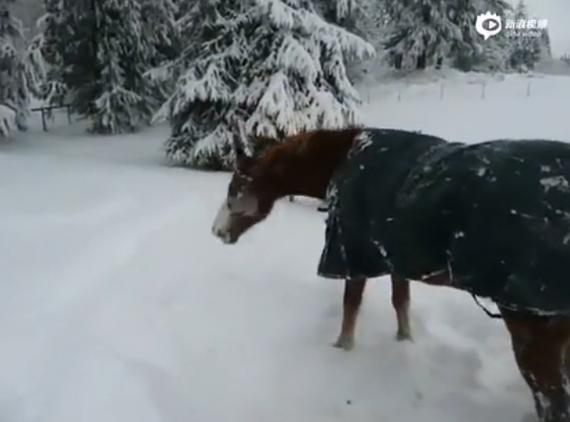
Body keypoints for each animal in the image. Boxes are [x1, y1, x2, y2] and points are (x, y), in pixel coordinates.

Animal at [211, 123, 568, 420]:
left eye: (234, 190)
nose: (217, 232)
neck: (341, 162)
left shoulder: (351, 256)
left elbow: (351, 307)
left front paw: (342, 350)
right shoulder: (395, 255)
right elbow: (401, 302)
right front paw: (404, 341)